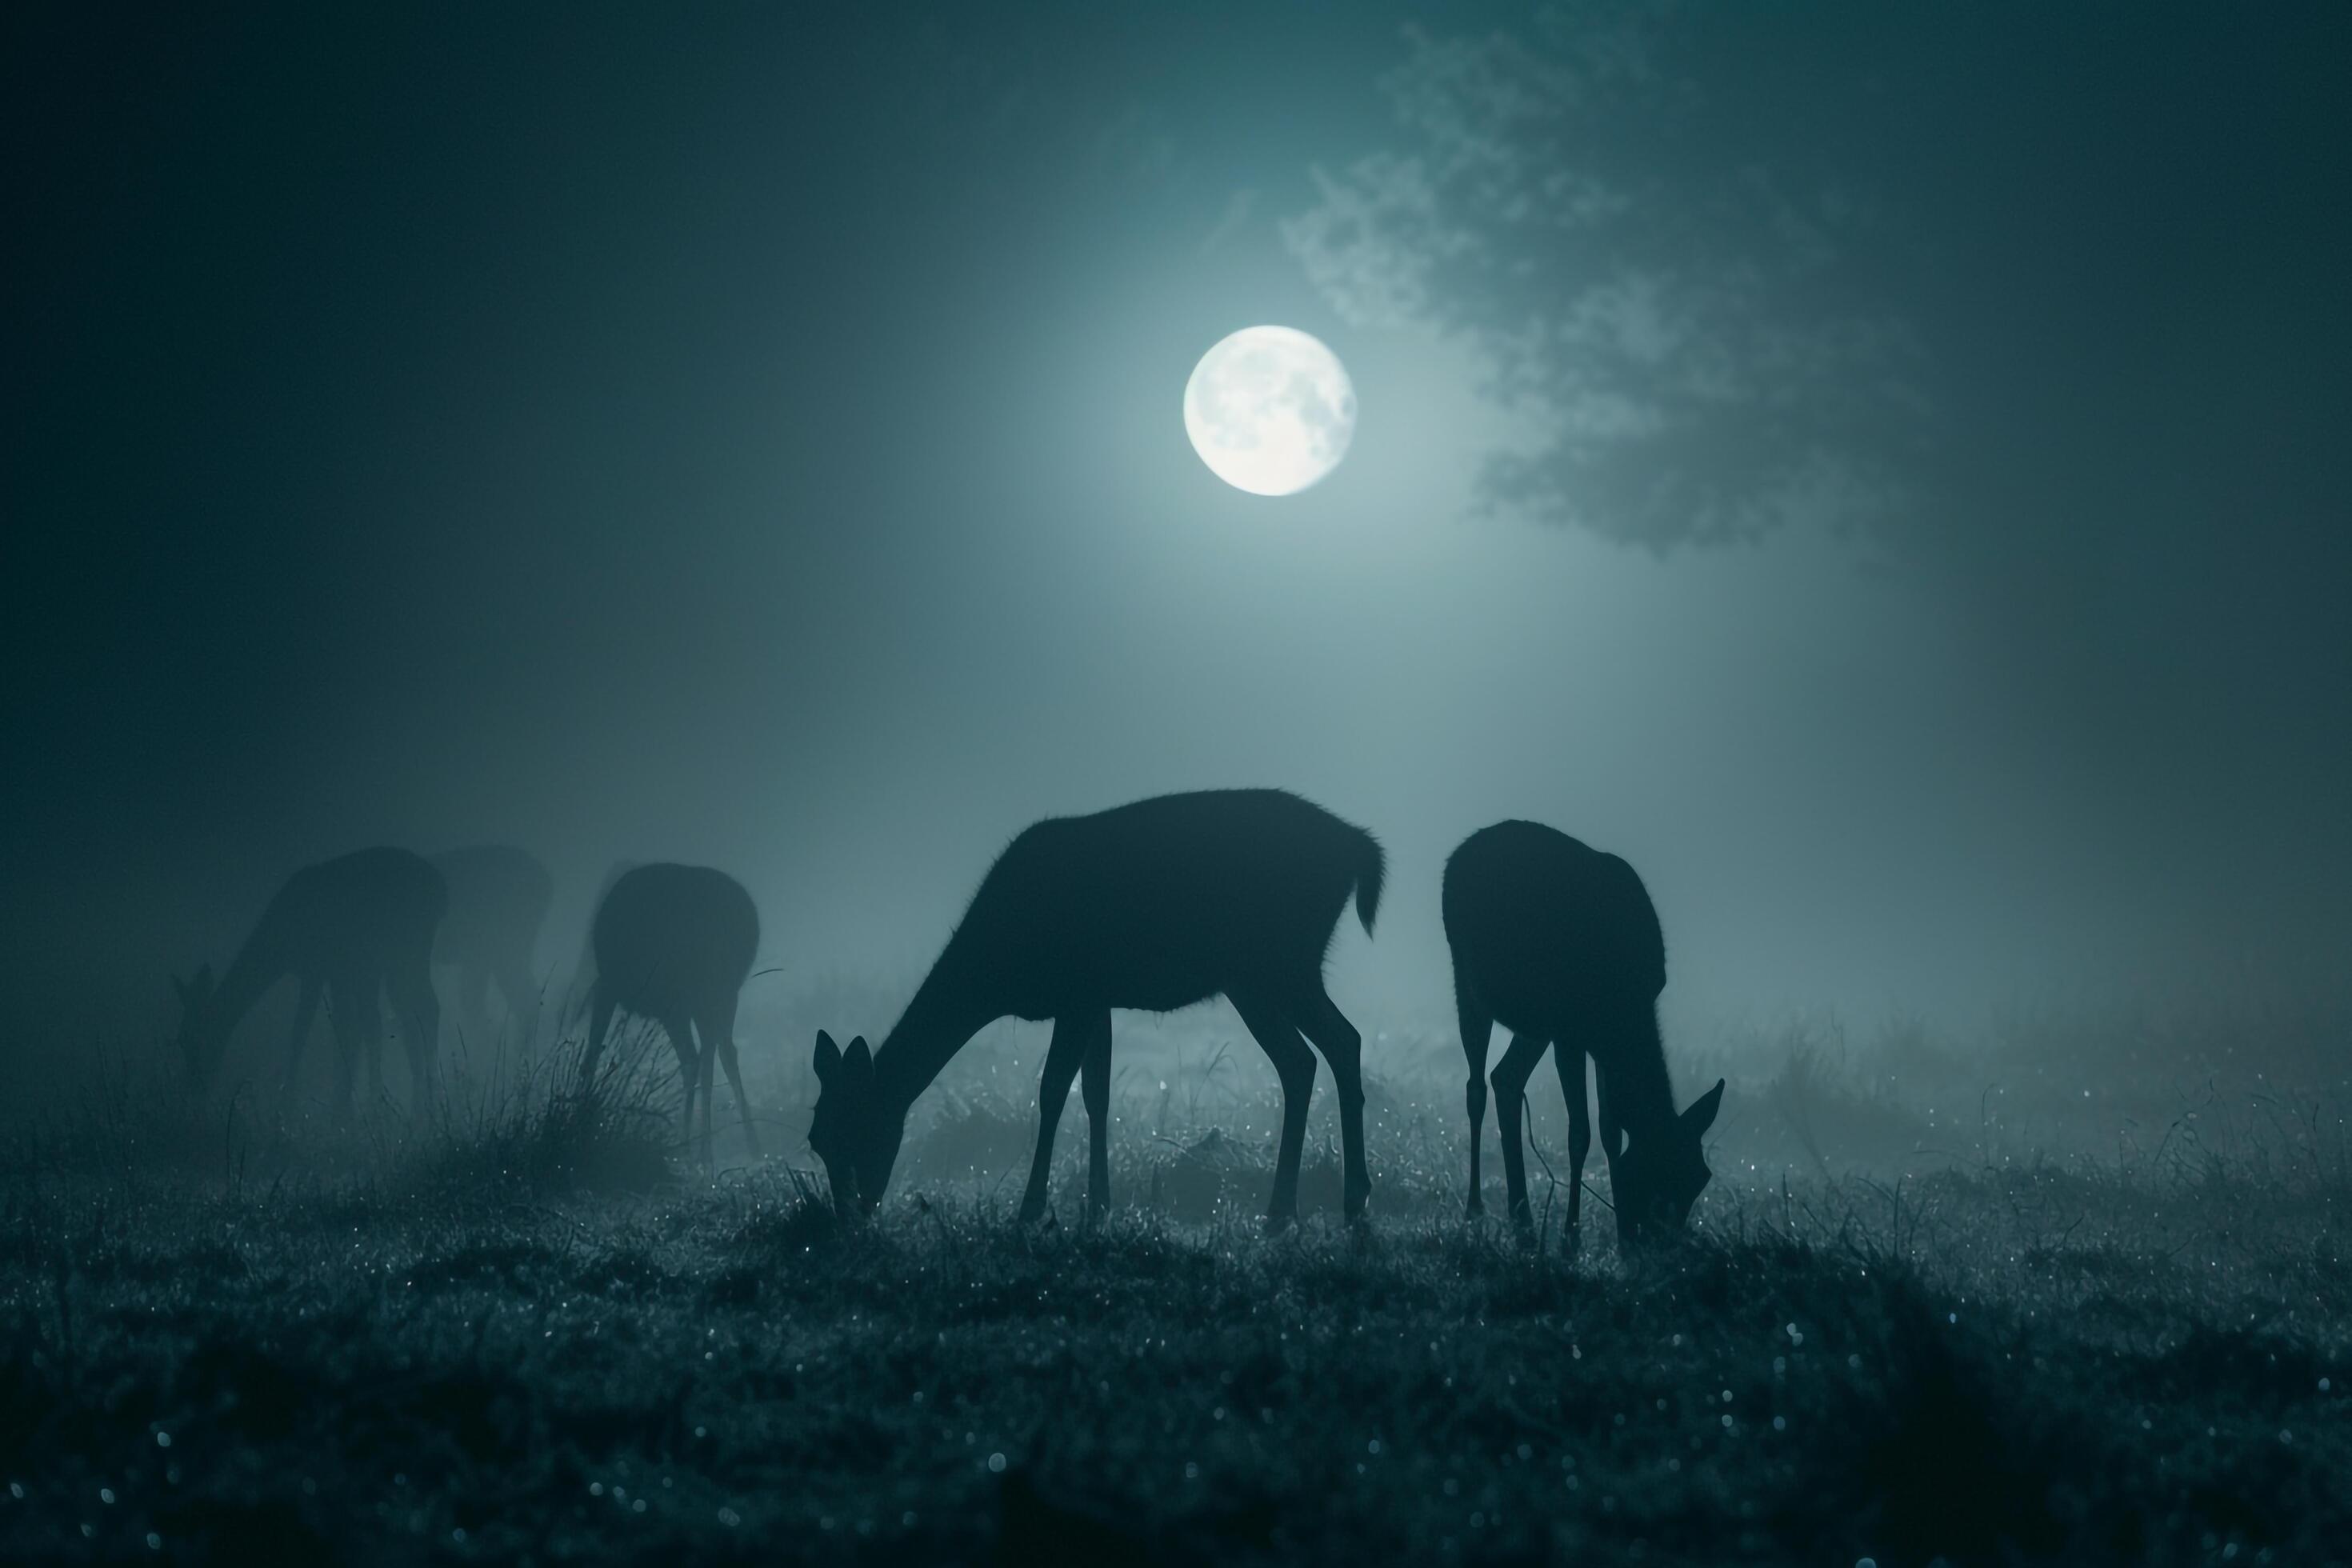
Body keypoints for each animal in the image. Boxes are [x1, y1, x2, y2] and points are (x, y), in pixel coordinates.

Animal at [171, 846, 446, 1114]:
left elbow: (300, 1032)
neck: (281, 945)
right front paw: (342, 1105)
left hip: (404, 952)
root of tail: (439, 887)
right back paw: (421, 1103)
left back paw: (421, 1100)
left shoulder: (315, 970)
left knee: (419, 1011)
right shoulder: (338, 973)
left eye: (190, 1040)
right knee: (413, 1015)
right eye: (180, 1040)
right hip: (397, 962)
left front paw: (287, 1105)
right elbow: (346, 1029)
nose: (191, 1090)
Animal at [574, 860, 757, 1166]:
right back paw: (739, 1141)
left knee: (702, 1060)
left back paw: (702, 1151)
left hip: (694, 993)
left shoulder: (609, 988)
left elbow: (590, 1056)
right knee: (719, 1054)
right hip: (719, 994)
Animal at [809, 790, 1373, 1231]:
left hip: (1276, 966)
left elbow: (1054, 1089)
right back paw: (1326, 1204)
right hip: (1265, 974)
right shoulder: (1097, 998)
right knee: (1315, 1055)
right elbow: (1097, 1092)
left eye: (856, 1129)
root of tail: (1363, 850)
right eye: (815, 1138)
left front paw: (1031, 1209)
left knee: (1328, 1047)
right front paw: (1098, 1206)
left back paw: (1308, 1206)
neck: (997, 970)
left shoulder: (1077, 993)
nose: (848, 1217)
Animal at [1439, 822, 1722, 1250]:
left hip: (1535, 1022)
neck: (1622, 1002)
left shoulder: (1591, 1037)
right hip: (1467, 977)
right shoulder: (1570, 1032)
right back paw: (1476, 1209)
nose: (1663, 1246)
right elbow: (1579, 1132)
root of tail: (1461, 852)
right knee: (1476, 1087)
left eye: (1700, 1177)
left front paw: (1619, 1236)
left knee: (1505, 1078)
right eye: (1655, 1172)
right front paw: (1571, 1235)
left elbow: (1610, 1129)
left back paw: (1522, 1217)